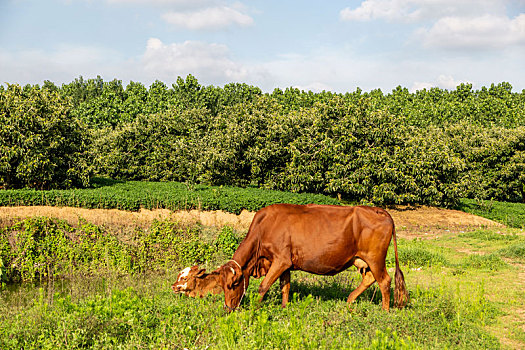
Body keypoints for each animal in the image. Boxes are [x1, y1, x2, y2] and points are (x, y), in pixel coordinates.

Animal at [219, 204, 408, 310]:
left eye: (233, 284)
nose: (228, 308)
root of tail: (378, 210)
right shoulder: (286, 263)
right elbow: (285, 286)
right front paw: (284, 307)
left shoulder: (280, 260)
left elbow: (263, 286)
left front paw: (256, 308)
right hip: (361, 259)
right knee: (370, 278)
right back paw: (349, 301)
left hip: (375, 258)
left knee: (384, 281)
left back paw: (384, 310)